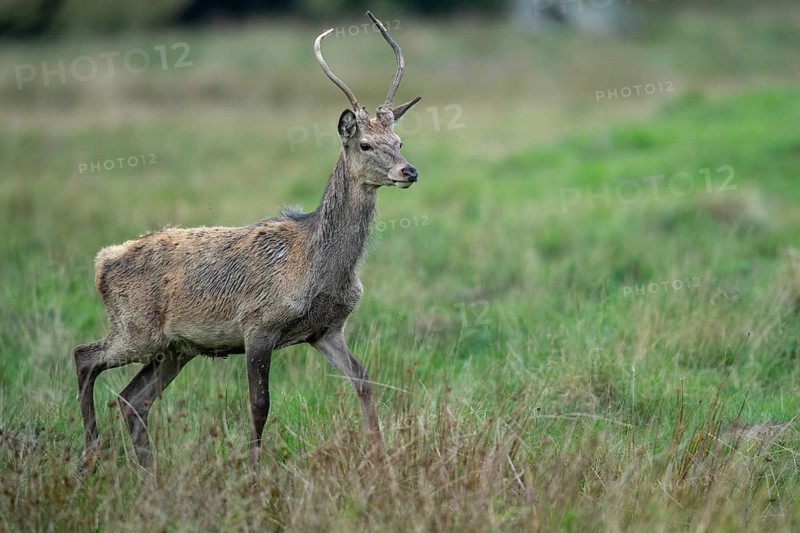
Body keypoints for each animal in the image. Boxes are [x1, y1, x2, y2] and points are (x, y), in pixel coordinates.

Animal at [72, 11, 422, 474]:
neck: (316, 266)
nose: (409, 171)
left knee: (132, 399)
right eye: (365, 144)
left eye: (399, 142)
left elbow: (364, 382)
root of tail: (102, 262)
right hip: (136, 328)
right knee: (85, 357)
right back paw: (91, 454)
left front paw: (381, 462)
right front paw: (254, 475)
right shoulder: (258, 324)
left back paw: (150, 475)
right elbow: (259, 404)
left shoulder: (326, 329)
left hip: (175, 348)